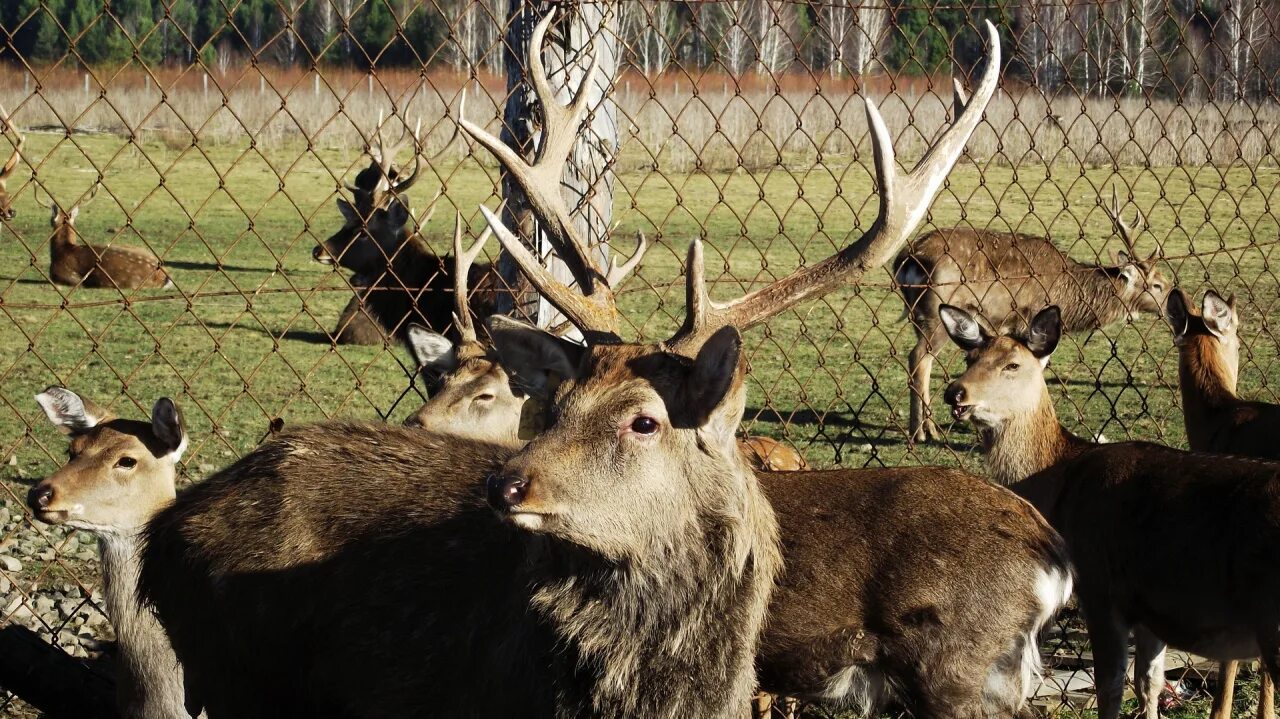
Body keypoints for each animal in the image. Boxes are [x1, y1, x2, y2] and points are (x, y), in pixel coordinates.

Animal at [890, 184, 1172, 442]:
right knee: (918, 359)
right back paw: (923, 432)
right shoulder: (1030, 320)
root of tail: (906, 259)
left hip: (919, 317)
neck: (1068, 294)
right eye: (1157, 285)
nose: (1174, 299)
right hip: (935, 313)